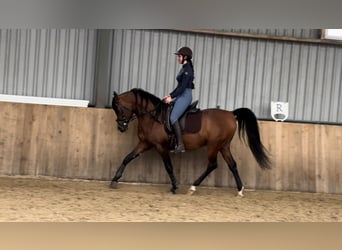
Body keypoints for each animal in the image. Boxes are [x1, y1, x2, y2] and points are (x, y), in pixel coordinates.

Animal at [111, 89, 272, 196]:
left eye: (118, 108)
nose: (121, 127)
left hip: (213, 146)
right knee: (232, 165)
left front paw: (175, 186)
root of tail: (231, 114)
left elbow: (168, 167)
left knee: (212, 165)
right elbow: (127, 158)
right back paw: (240, 190)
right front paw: (114, 179)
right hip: (224, 146)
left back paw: (193, 187)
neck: (153, 117)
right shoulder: (145, 144)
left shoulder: (161, 147)